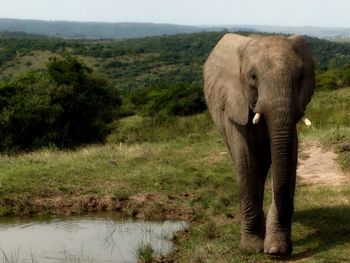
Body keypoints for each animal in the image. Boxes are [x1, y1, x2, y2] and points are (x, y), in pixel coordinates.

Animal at [202, 34, 314, 256]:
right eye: (253, 77)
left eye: (300, 77)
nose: (288, 249)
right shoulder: (234, 103)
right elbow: (245, 160)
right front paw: (252, 248)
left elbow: (290, 156)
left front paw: (276, 249)